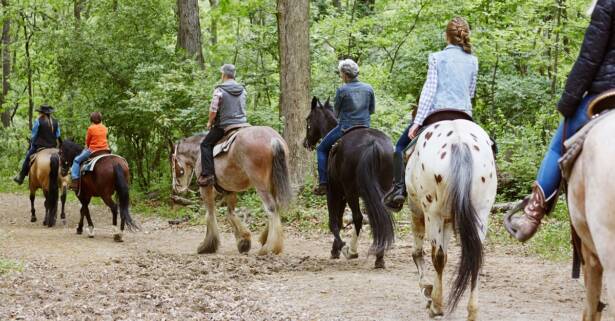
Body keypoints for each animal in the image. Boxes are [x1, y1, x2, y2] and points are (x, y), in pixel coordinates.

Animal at [406, 119, 498, 318]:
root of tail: (459, 143)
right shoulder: (447, 220)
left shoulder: (417, 210)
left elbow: (419, 251)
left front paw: (427, 289)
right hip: (480, 214)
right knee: (475, 259)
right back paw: (472, 312)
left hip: (433, 214)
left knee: (438, 257)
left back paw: (436, 305)